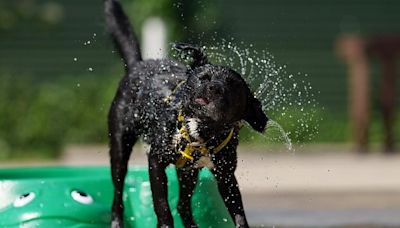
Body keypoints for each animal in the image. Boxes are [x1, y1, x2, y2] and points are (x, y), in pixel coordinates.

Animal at [103, 0, 268, 227]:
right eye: (203, 78)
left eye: (232, 84)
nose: (214, 88)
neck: (203, 131)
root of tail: (138, 64)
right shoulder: (156, 162)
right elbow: (162, 206)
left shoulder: (226, 176)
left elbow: (239, 213)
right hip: (120, 149)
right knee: (117, 197)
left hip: (188, 174)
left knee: (183, 206)